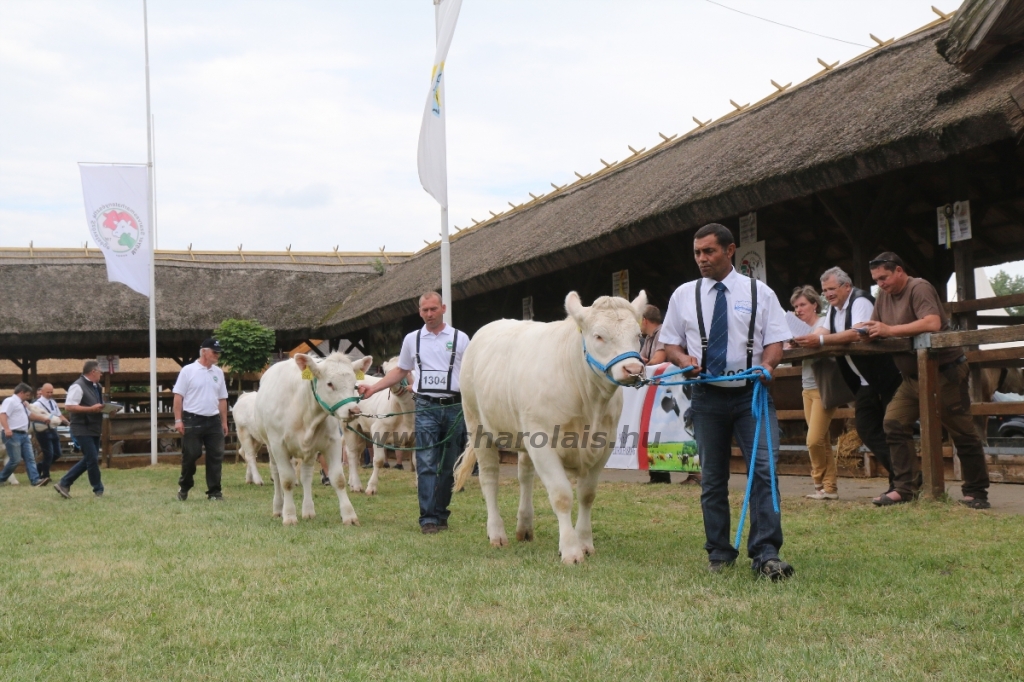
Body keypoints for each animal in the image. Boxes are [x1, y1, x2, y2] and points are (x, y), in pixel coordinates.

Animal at [256, 352, 372, 522]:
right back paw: (278, 508)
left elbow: (338, 479)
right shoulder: (278, 445)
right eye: (330, 384)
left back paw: (308, 511)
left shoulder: (333, 443)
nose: (354, 411)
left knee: (306, 475)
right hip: (270, 447)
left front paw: (349, 515)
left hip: (310, 451)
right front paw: (289, 515)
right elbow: (287, 480)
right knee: (276, 473)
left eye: (354, 385)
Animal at [344, 356, 415, 493]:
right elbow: (378, 460)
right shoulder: (379, 430)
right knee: (352, 454)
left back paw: (351, 482)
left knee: (357, 453)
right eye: (386, 372)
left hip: (362, 431)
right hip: (350, 427)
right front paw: (371, 487)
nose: (393, 384)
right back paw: (356, 485)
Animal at [452, 288, 643, 561]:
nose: (634, 369)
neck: (590, 403)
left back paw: (524, 527)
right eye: (598, 336)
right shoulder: (542, 442)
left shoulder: (605, 443)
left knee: (525, 476)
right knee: (489, 478)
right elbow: (562, 495)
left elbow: (587, 495)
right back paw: (497, 534)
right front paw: (571, 550)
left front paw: (585, 542)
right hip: (478, 425)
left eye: (638, 335)